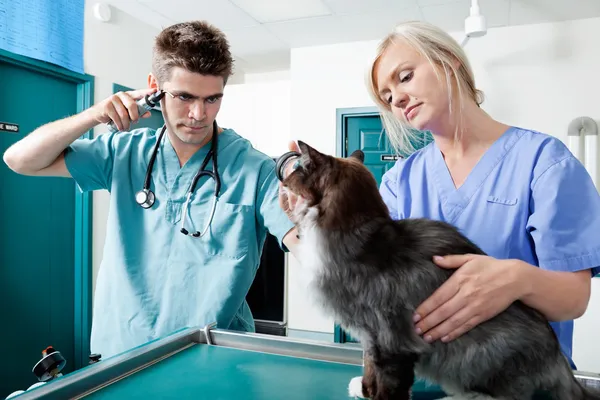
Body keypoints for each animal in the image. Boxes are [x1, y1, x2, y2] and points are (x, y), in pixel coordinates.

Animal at [282, 139, 600, 398]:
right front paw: (364, 389)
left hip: (483, 351)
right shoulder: (370, 337)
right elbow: (369, 365)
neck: (360, 237)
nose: (284, 180)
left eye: (297, 169)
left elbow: (388, 383)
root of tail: (559, 362)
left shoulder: (392, 339)